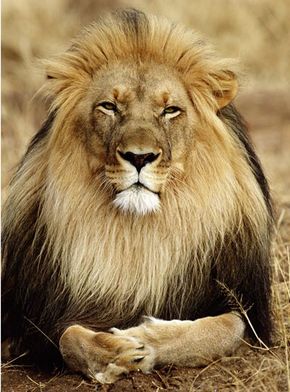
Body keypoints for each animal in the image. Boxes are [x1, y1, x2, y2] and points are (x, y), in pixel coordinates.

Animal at [2, 8, 274, 382]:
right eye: (109, 106)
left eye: (170, 110)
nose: (139, 157)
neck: (140, 239)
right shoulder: (30, 327)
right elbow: (67, 337)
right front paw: (113, 352)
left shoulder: (249, 314)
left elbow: (224, 327)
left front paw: (144, 338)